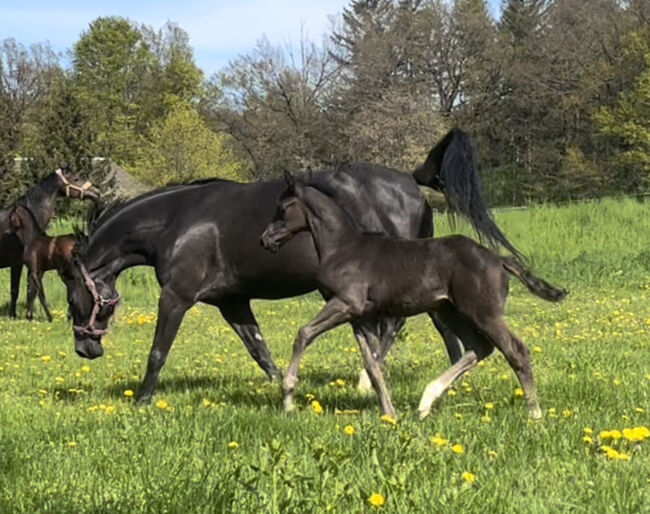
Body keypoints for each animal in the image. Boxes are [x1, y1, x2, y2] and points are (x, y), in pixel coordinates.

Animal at [0, 167, 98, 316]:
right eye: (76, 178)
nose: (96, 192)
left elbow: (31, 290)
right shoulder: (17, 264)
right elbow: (16, 290)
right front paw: (14, 315)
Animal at [260, 172, 564, 416]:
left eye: (283, 208)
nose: (265, 240)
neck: (342, 248)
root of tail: (498, 259)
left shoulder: (345, 303)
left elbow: (304, 334)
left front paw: (288, 399)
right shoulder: (359, 316)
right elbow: (373, 365)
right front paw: (389, 412)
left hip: (483, 313)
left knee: (515, 350)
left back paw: (534, 413)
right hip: (450, 311)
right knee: (479, 348)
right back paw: (426, 402)